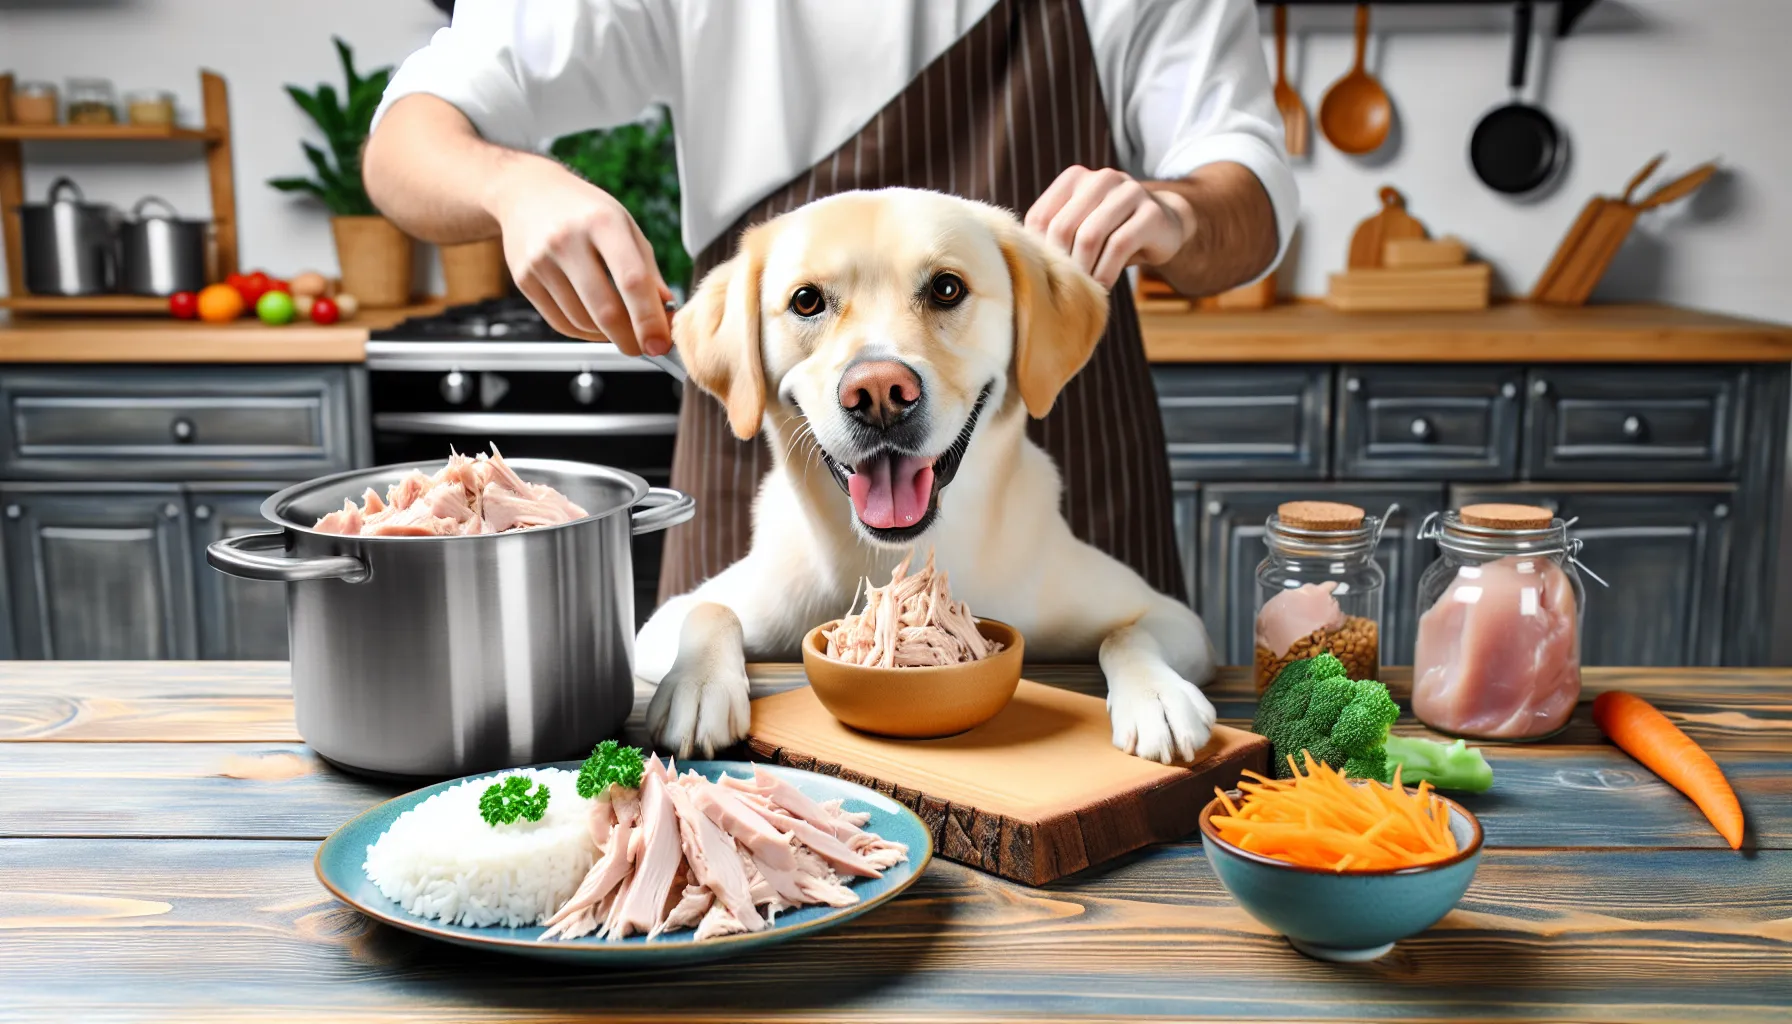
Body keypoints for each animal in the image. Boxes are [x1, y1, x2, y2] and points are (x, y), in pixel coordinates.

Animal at [634, 190, 1218, 760]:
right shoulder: (661, 624)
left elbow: (1124, 637)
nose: (878, 394)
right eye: (806, 301)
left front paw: (1157, 696)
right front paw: (698, 687)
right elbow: (709, 610)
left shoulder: (1176, 618)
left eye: (946, 288)